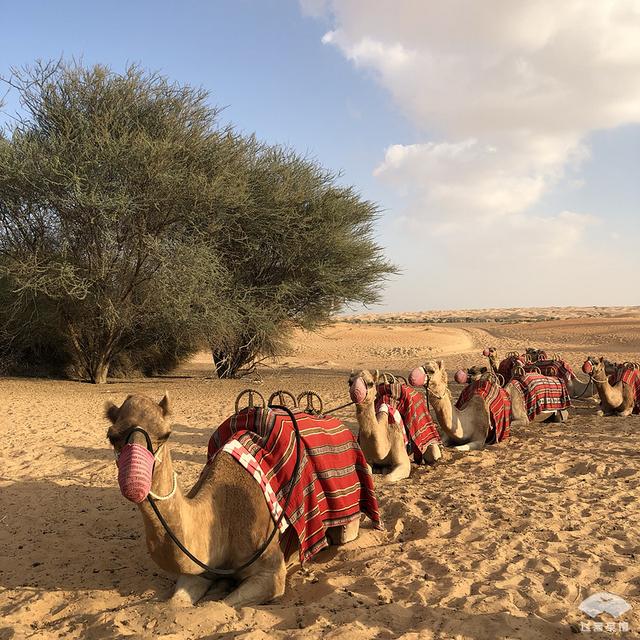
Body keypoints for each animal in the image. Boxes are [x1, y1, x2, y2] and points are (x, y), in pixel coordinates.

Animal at [106, 392, 370, 608]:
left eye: (165, 434)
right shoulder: (200, 568)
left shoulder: (271, 573)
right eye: (112, 436)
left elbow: (221, 604)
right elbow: (175, 604)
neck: (224, 515)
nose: (134, 484)